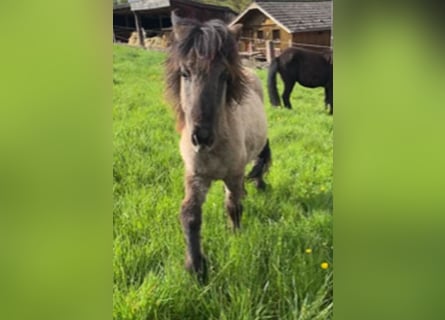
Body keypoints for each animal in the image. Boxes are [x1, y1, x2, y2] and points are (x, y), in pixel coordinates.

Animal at [165, 11, 270, 278]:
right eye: (185, 73)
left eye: (224, 75)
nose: (201, 137)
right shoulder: (196, 176)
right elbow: (190, 215)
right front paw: (196, 267)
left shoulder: (233, 174)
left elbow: (233, 206)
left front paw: (236, 235)